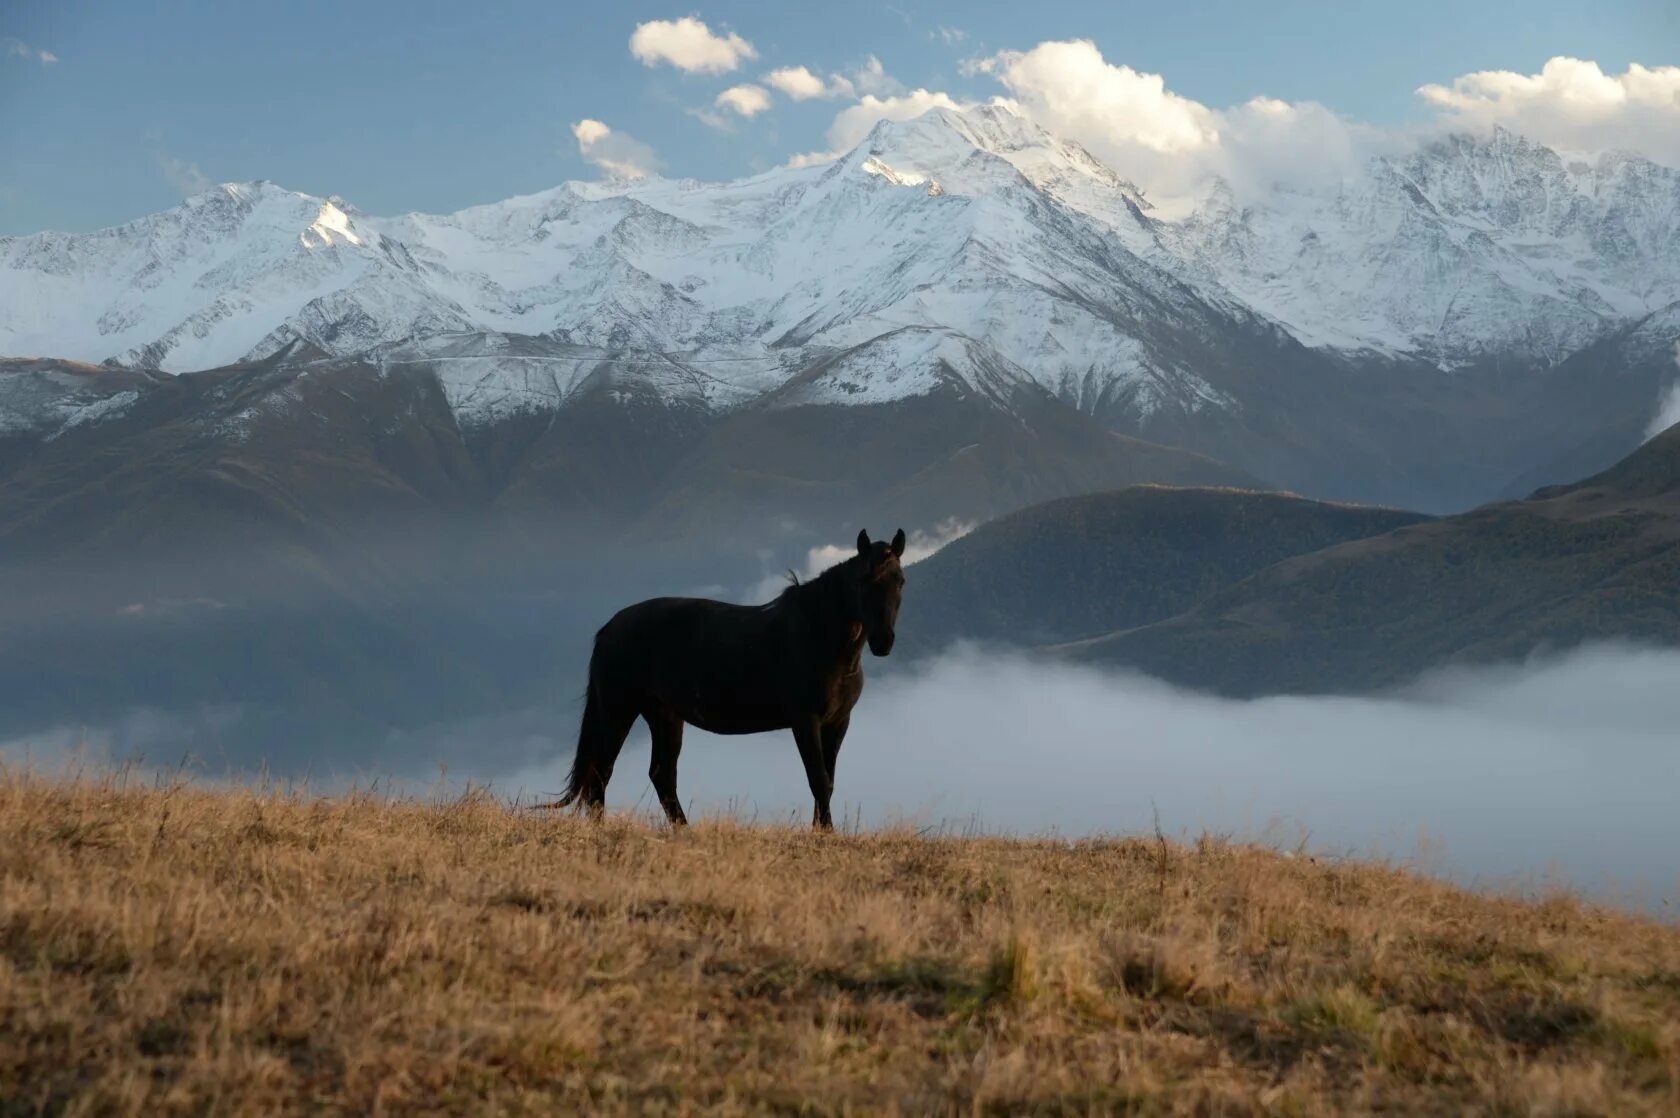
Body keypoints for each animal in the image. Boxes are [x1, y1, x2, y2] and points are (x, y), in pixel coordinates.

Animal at [547, 531, 907, 827]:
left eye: (900, 580)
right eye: (864, 580)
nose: (884, 642)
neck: (819, 636)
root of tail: (609, 629)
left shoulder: (838, 722)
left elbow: (828, 781)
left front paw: (824, 831)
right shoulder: (806, 721)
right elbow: (817, 778)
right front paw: (823, 833)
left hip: (664, 716)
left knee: (662, 775)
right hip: (618, 711)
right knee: (601, 773)